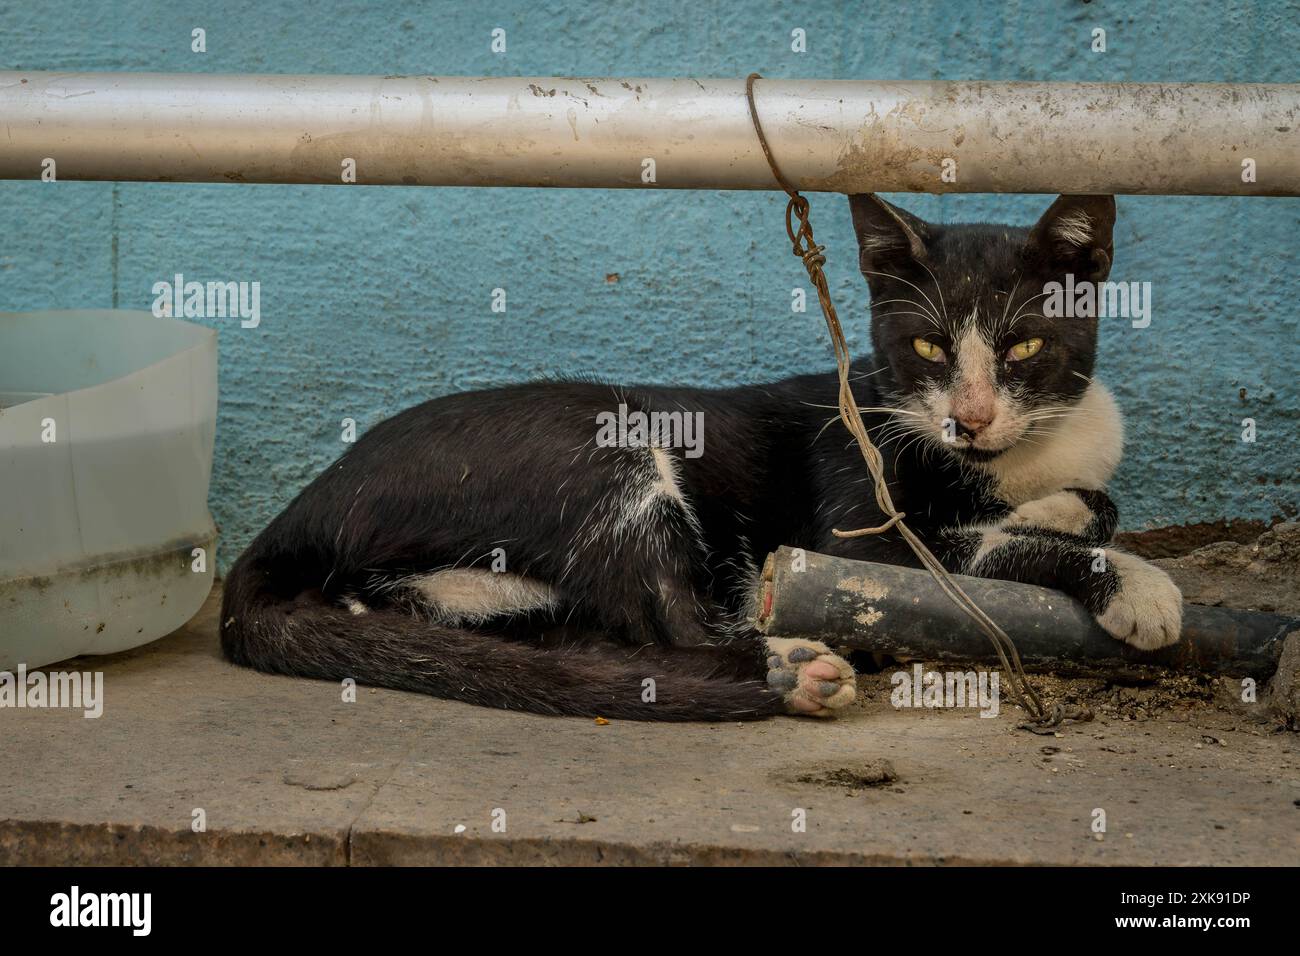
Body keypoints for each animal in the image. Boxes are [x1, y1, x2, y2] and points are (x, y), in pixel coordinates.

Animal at [220, 191, 1180, 723]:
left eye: (1023, 348)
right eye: (929, 348)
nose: (969, 420)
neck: (1019, 454)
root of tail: (297, 515)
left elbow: (1086, 503)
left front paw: (1065, 510)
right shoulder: (858, 530)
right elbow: (975, 552)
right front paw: (1138, 586)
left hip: (463, 590)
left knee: (586, 637)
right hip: (603, 442)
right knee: (671, 619)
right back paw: (792, 668)